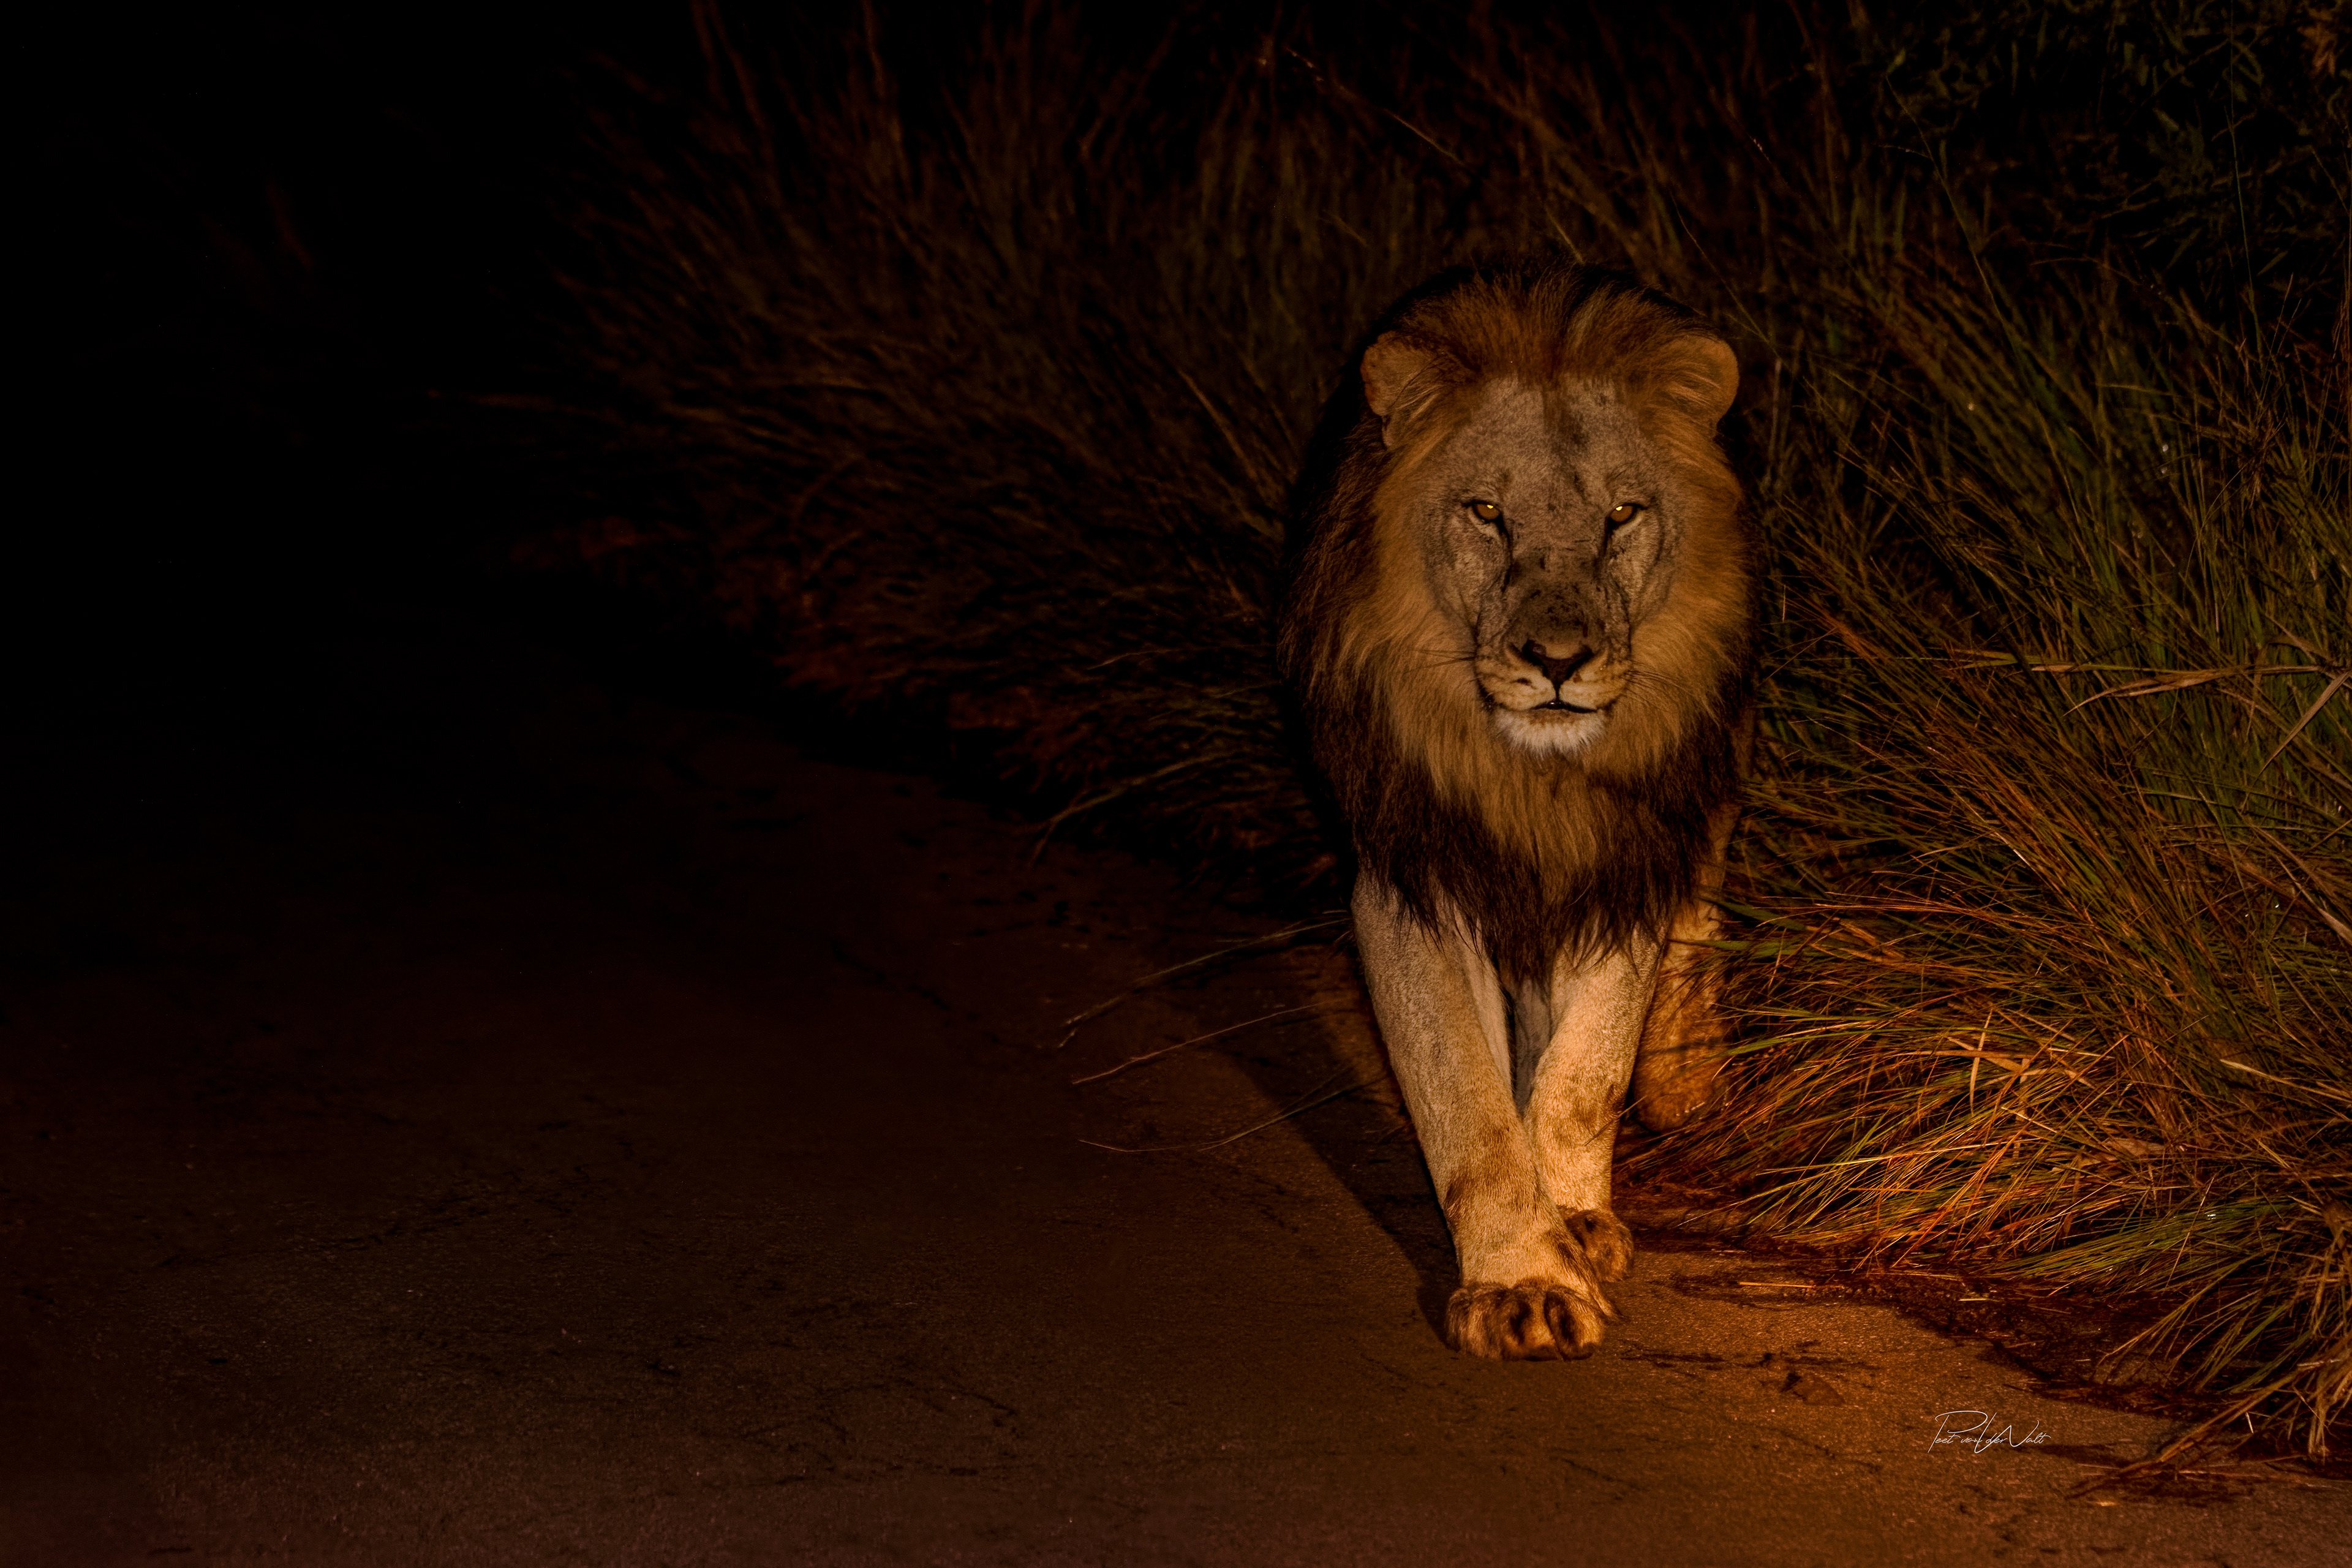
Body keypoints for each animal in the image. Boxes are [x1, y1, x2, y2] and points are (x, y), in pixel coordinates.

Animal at [1278, 260, 1753, 1360]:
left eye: (1622, 516)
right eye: (1487, 513)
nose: (1559, 662)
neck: (1533, 778)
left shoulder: (1624, 856)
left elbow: (1586, 1077)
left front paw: (1574, 1217)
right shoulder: (1412, 872)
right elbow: (1467, 1098)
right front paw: (1524, 1280)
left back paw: (1687, 1074)